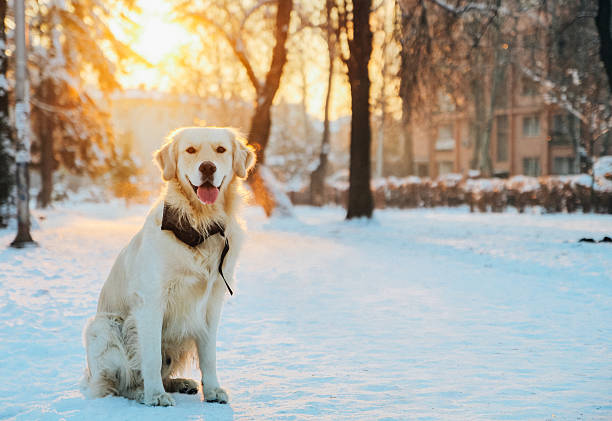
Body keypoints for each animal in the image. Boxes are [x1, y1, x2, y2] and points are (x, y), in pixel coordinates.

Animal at [82, 126, 255, 406]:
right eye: (190, 150)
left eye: (221, 150)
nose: (208, 167)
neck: (199, 227)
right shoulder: (151, 300)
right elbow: (151, 356)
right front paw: (155, 395)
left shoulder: (211, 302)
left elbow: (209, 354)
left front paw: (213, 389)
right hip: (103, 327)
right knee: (119, 384)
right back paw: (142, 392)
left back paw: (181, 383)